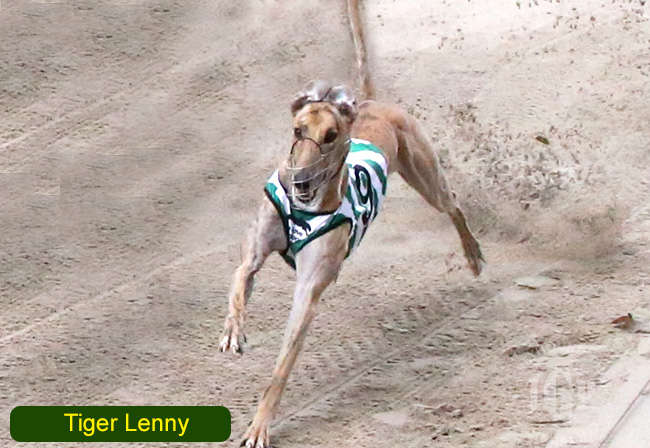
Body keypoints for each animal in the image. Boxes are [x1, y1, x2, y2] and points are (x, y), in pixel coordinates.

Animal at [219, 1, 484, 446]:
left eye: (331, 135)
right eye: (298, 130)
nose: (300, 181)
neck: (304, 208)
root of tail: (372, 102)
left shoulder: (308, 292)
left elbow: (280, 370)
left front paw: (259, 426)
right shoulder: (253, 254)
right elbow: (239, 282)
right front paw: (233, 331)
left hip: (426, 176)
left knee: (454, 206)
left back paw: (473, 254)